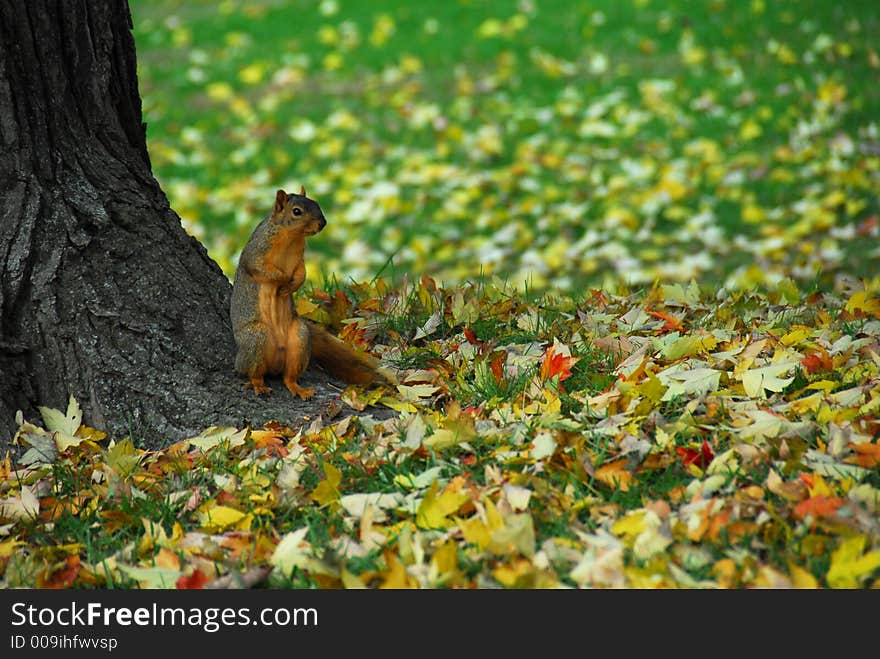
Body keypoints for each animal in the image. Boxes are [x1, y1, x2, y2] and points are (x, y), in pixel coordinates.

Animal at [232, 188, 390, 400]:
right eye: (297, 211)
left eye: (316, 203)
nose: (323, 223)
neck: (291, 237)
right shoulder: (256, 251)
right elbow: (260, 268)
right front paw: (283, 279)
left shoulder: (300, 257)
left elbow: (302, 272)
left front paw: (292, 285)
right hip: (255, 337)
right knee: (253, 372)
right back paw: (258, 385)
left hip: (299, 338)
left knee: (288, 377)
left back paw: (299, 389)